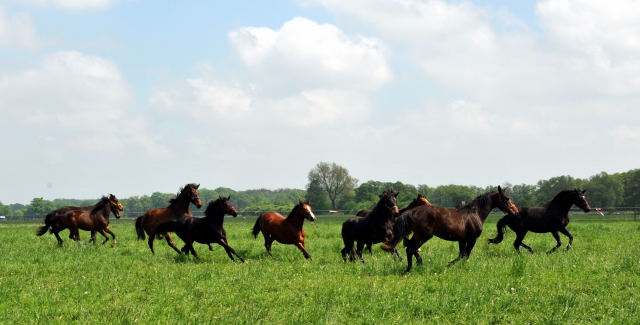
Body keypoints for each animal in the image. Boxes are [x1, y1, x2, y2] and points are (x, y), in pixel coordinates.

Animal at [384, 185, 520, 270]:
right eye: (507, 198)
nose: (514, 211)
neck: (475, 213)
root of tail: (412, 212)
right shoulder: (472, 239)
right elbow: (466, 255)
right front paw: (456, 266)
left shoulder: (462, 239)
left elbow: (461, 254)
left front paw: (449, 265)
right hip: (424, 236)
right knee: (411, 249)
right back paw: (411, 268)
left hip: (418, 235)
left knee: (411, 248)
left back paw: (413, 267)